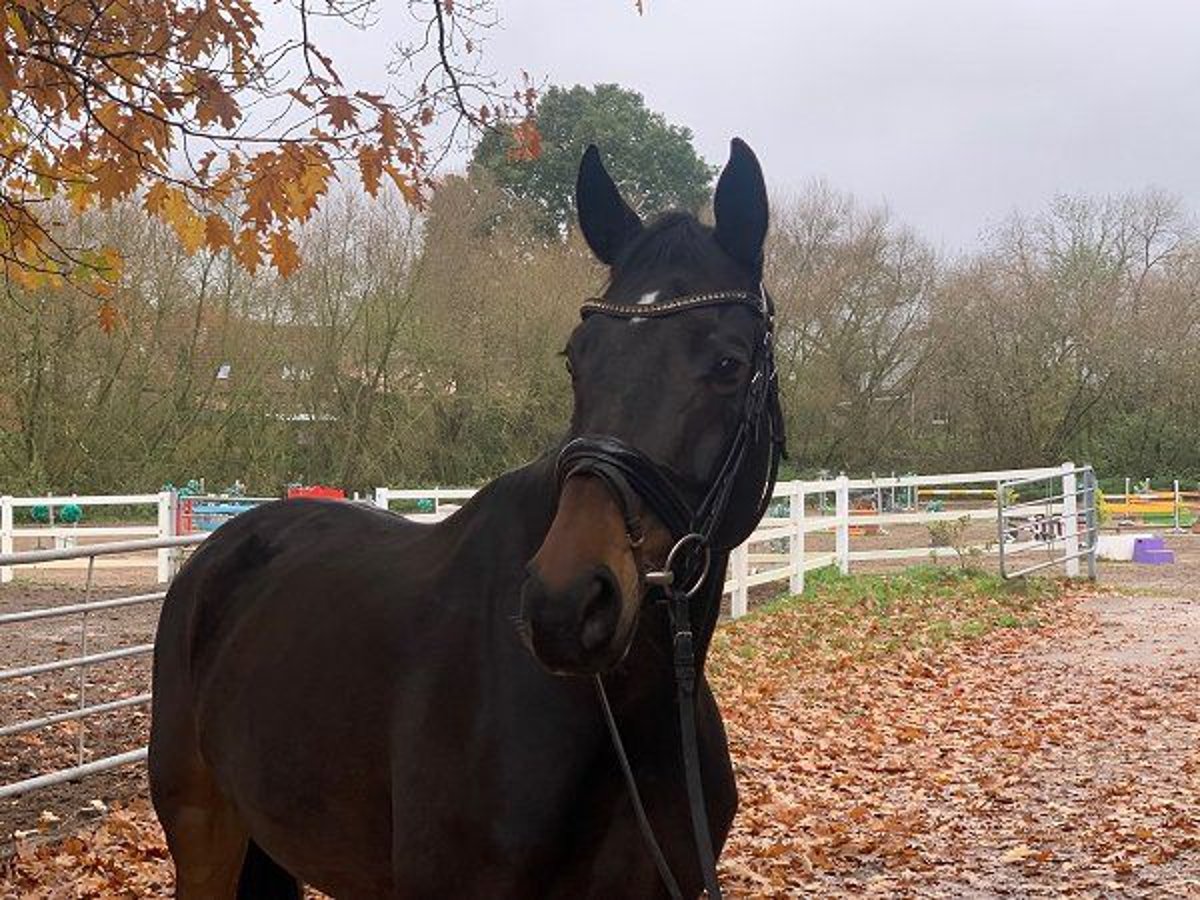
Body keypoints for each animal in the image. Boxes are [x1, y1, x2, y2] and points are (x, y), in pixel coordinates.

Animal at [150, 137, 782, 897]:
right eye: (576, 358)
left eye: (729, 364)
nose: (566, 603)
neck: (628, 718)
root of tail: (221, 549)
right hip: (205, 834)